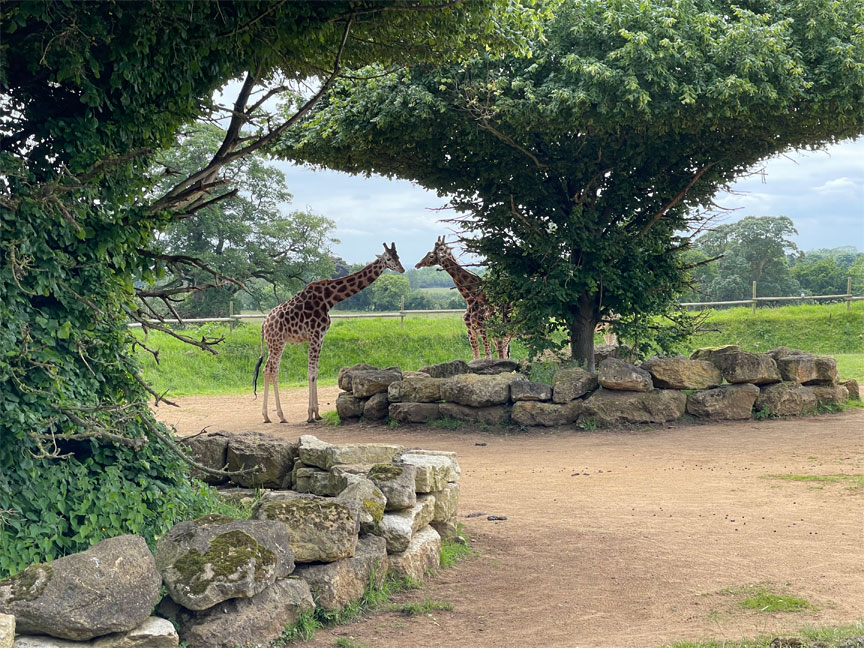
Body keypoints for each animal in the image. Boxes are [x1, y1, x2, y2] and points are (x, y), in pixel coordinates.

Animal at [253, 240, 404, 422]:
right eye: (388, 258)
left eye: (398, 256)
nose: (402, 269)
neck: (329, 299)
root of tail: (263, 325)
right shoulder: (315, 335)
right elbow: (311, 373)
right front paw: (310, 415)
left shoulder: (321, 337)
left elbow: (315, 373)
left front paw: (317, 414)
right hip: (277, 342)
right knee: (270, 370)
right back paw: (276, 415)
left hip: (276, 343)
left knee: (270, 369)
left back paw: (270, 415)